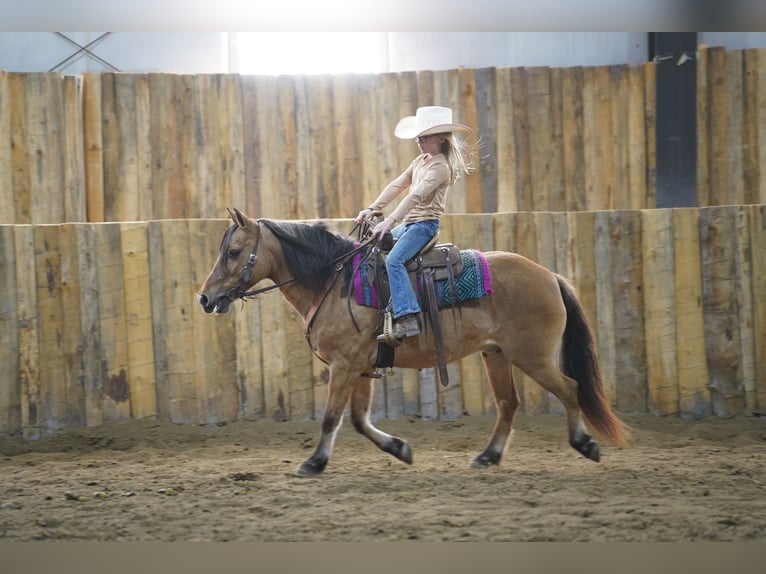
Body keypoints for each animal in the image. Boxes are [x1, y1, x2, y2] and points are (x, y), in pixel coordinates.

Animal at [198, 208, 629, 476]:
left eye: (234, 251)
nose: (205, 298)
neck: (334, 282)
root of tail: (550, 276)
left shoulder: (343, 365)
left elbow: (332, 417)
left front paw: (314, 463)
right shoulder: (359, 368)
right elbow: (359, 420)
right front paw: (400, 449)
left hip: (532, 357)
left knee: (569, 389)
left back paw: (584, 443)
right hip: (497, 355)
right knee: (509, 404)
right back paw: (487, 457)